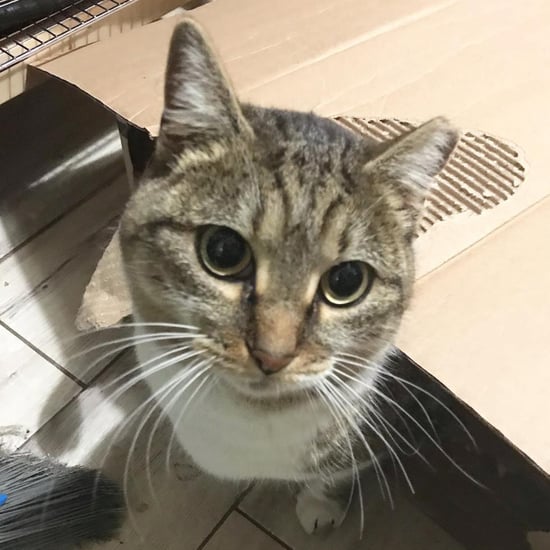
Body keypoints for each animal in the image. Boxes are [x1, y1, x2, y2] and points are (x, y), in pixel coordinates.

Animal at [118, 19, 460, 536]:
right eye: (223, 251)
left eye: (346, 282)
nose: (272, 355)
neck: (251, 423)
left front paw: (319, 507)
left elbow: (334, 473)